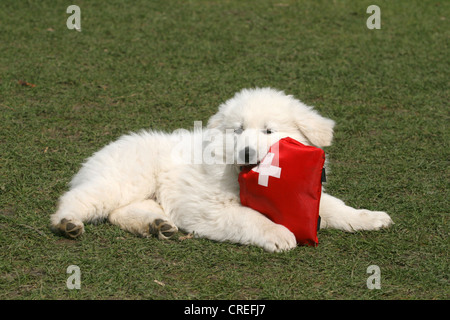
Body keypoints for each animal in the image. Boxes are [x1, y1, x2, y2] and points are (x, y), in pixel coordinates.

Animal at [51, 88, 392, 252]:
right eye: (238, 130)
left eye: (269, 131)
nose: (246, 152)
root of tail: (103, 150)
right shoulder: (213, 208)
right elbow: (251, 217)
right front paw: (278, 234)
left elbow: (334, 207)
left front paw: (370, 217)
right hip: (123, 180)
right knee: (81, 199)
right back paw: (68, 223)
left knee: (120, 212)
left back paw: (157, 225)